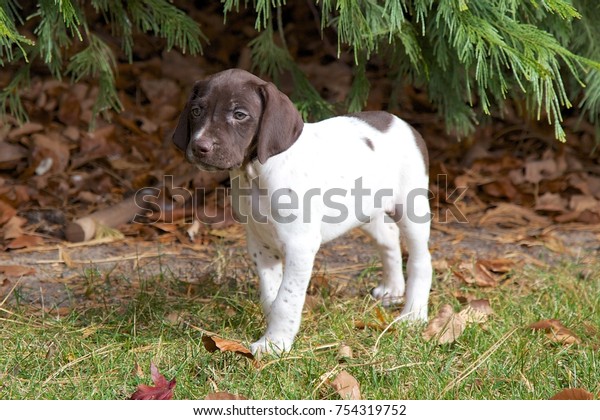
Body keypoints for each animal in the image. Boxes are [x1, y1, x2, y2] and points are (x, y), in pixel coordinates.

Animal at [172, 69, 432, 358]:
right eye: (196, 111)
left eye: (240, 114)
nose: (200, 146)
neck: (256, 175)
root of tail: (401, 122)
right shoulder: (260, 242)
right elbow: (271, 295)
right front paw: (275, 332)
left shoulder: (300, 245)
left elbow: (286, 298)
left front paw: (275, 343)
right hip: (363, 210)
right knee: (388, 236)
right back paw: (392, 288)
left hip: (411, 208)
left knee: (421, 260)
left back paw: (414, 314)